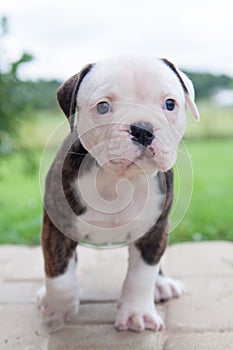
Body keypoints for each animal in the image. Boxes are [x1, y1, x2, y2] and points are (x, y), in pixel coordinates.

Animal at [37, 54, 199, 330]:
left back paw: (162, 284)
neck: (118, 180)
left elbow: (142, 274)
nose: (143, 129)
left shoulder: (154, 228)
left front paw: (137, 313)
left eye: (170, 104)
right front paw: (58, 309)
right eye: (103, 107)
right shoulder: (57, 226)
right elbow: (59, 274)